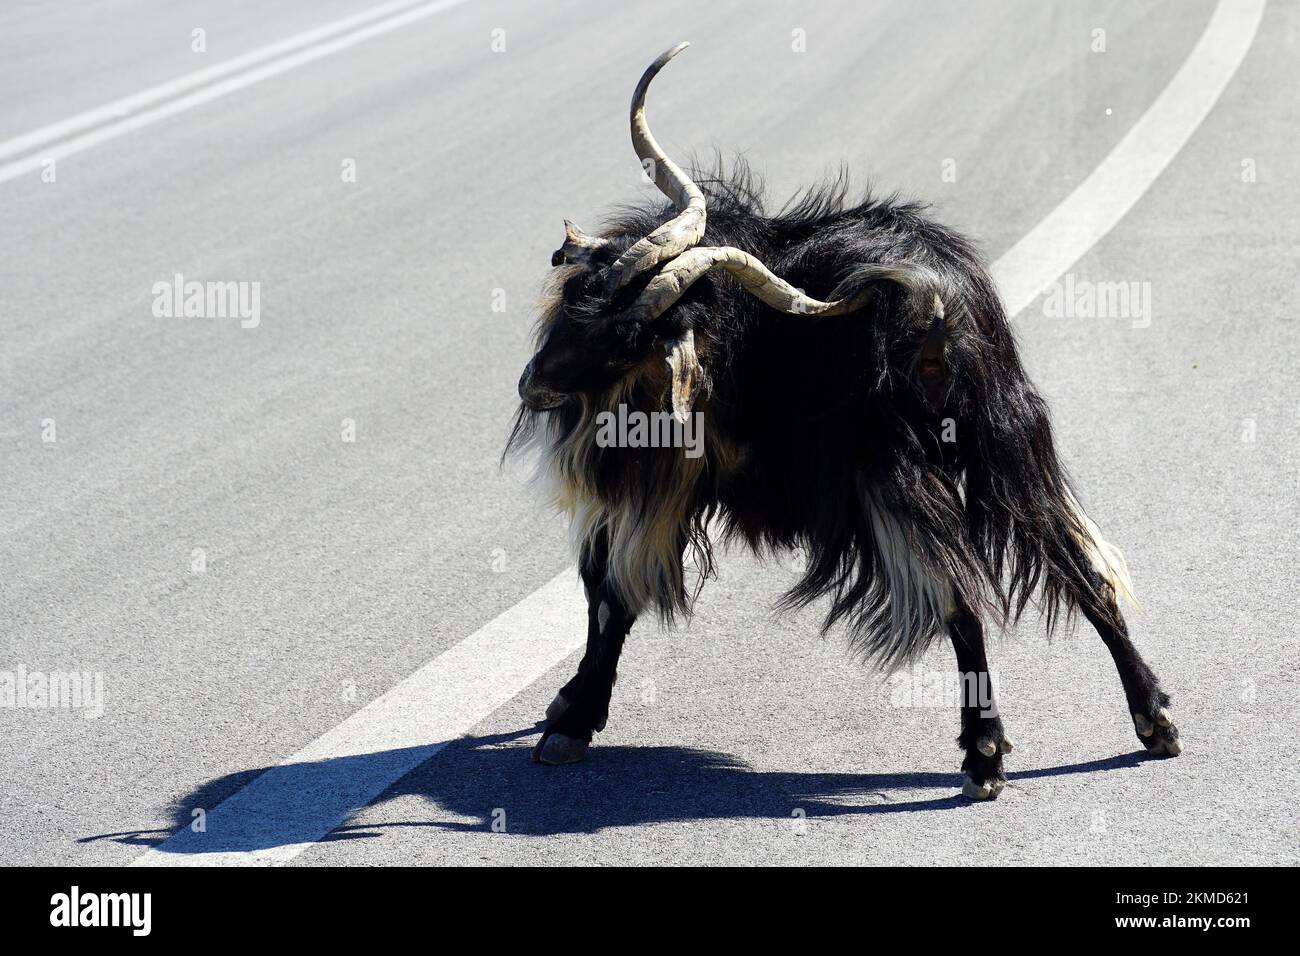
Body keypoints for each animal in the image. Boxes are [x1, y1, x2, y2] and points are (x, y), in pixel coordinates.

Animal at [506, 42, 1180, 801]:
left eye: (628, 338)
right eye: (582, 295)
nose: (534, 385)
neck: (732, 327)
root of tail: (937, 305)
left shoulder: (666, 477)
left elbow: (611, 591)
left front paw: (572, 720)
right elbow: (605, 588)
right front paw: (570, 709)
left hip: (897, 470)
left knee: (960, 596)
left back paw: (984, 755)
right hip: (1003, 440)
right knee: (1080, 569)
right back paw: (1153, 720)